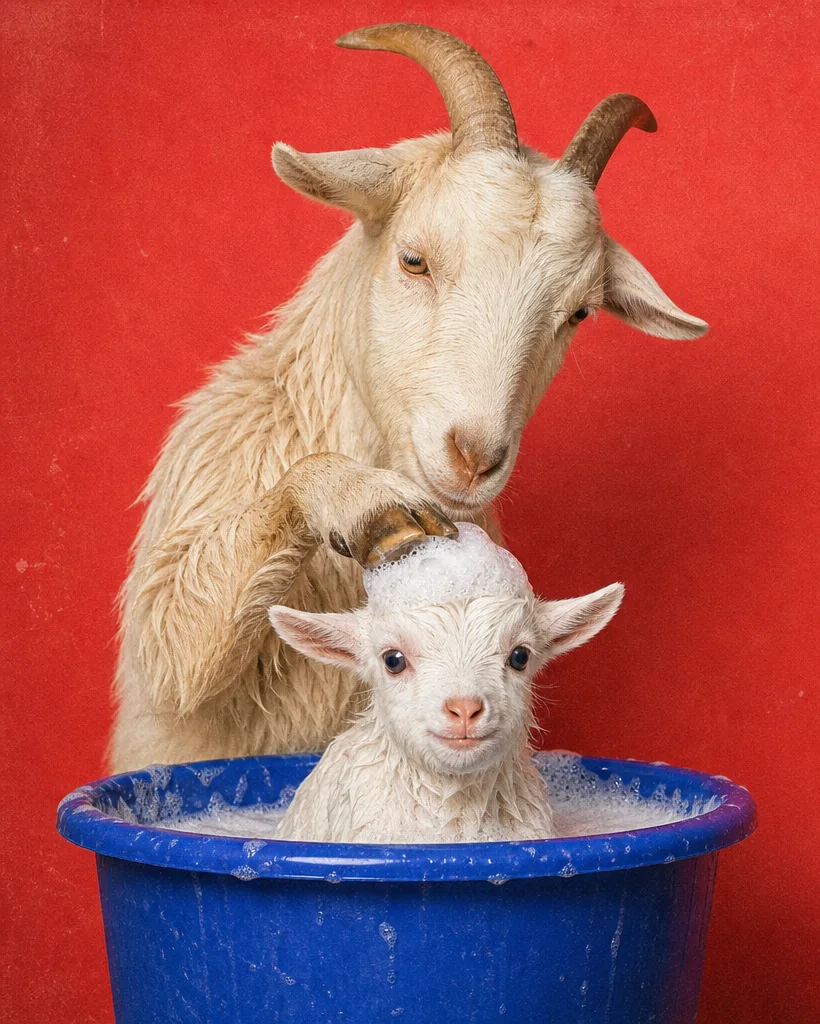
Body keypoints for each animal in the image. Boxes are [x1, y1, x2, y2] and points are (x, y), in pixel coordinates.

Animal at [112, 23, 705, 771]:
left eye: (577, 314)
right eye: (414, 259)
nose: (473, 458)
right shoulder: (171, 613)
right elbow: (178, 649)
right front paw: (362, 499)